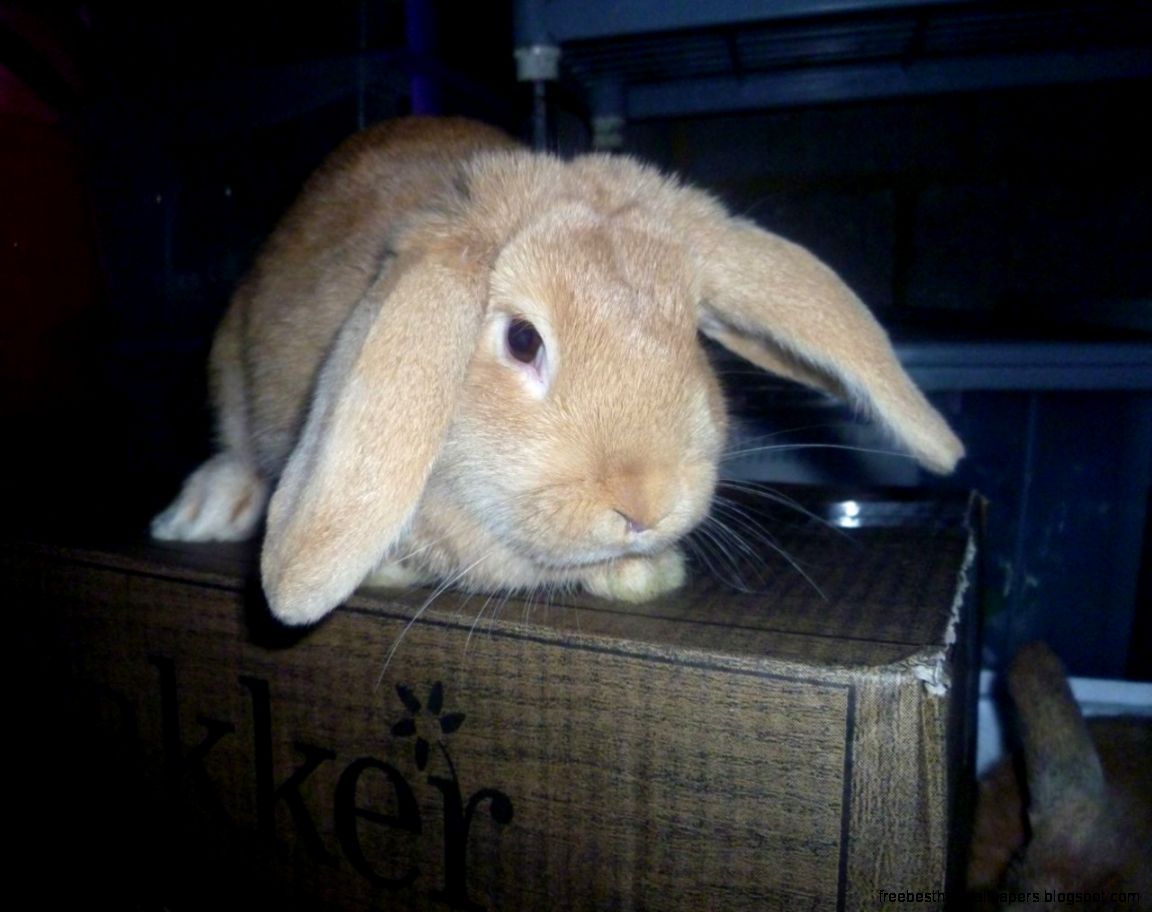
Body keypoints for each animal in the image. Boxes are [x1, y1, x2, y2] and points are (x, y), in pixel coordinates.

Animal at [151, 116, 964, 626]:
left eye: (691, 334)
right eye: (521, 340)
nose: (645, 503)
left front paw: (646, 575)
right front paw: (385, 570)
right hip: (228, 376)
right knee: (239, 453)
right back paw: (198, 513)